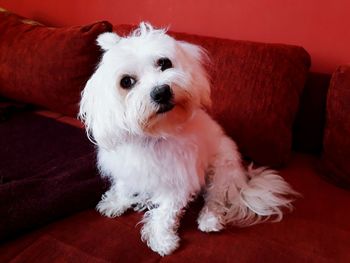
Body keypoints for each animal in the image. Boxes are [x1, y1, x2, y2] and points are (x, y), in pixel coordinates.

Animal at [78, 22, 298, 258]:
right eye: (126, 82)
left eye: (164, 63)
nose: (161, 92)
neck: (156, 135)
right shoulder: (127, 168)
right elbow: (123, 185)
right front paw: (116, 202)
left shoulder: (179, 179)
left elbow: (165, 213)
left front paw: (162, 239)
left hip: (221, 170)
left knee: (215, 199)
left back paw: (209, 219)